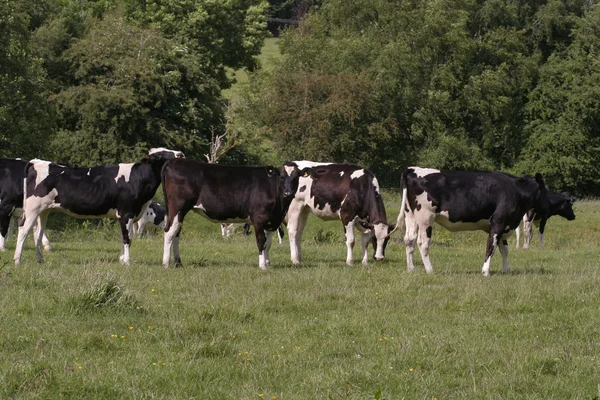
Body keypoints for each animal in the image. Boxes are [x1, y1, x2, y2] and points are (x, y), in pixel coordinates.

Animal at [13, 148, 183, 266]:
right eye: (162, 153)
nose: (180, 154)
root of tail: (37, 162)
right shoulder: (126, 213)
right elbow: (127, 238)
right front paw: (127, 262)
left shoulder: (124, 215)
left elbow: (123, 237)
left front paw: (122, 260)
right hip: (32, 208)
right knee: (23, 230)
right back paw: (17, 260)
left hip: (44, 210)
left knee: (38, 232)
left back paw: (40, 260)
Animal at [161, 159, 310, 268]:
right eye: (282, 177)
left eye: (296, 177)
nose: (288, 193)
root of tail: (175, 161)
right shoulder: (259, 218)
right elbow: (261, 241)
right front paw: (262, 266)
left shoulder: (271, 220)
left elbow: (268, 243)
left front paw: (268, 263)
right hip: (177, 207)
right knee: (169, 231)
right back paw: (166, 263)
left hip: (180, 212)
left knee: (176, 232)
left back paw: (178, 263)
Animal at [390, 167, 552, 276]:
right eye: (545, 190)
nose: (550, 205)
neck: (515, 191)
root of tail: (412, 169)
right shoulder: (498, 221)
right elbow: (491, 247)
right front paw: (486, 271)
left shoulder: (503, 224)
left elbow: (504, 249)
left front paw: (506, 269)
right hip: (425, 217)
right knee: (422, 243)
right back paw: (430, 269)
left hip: (410, 216)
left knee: (409, 240)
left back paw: (411, 269)